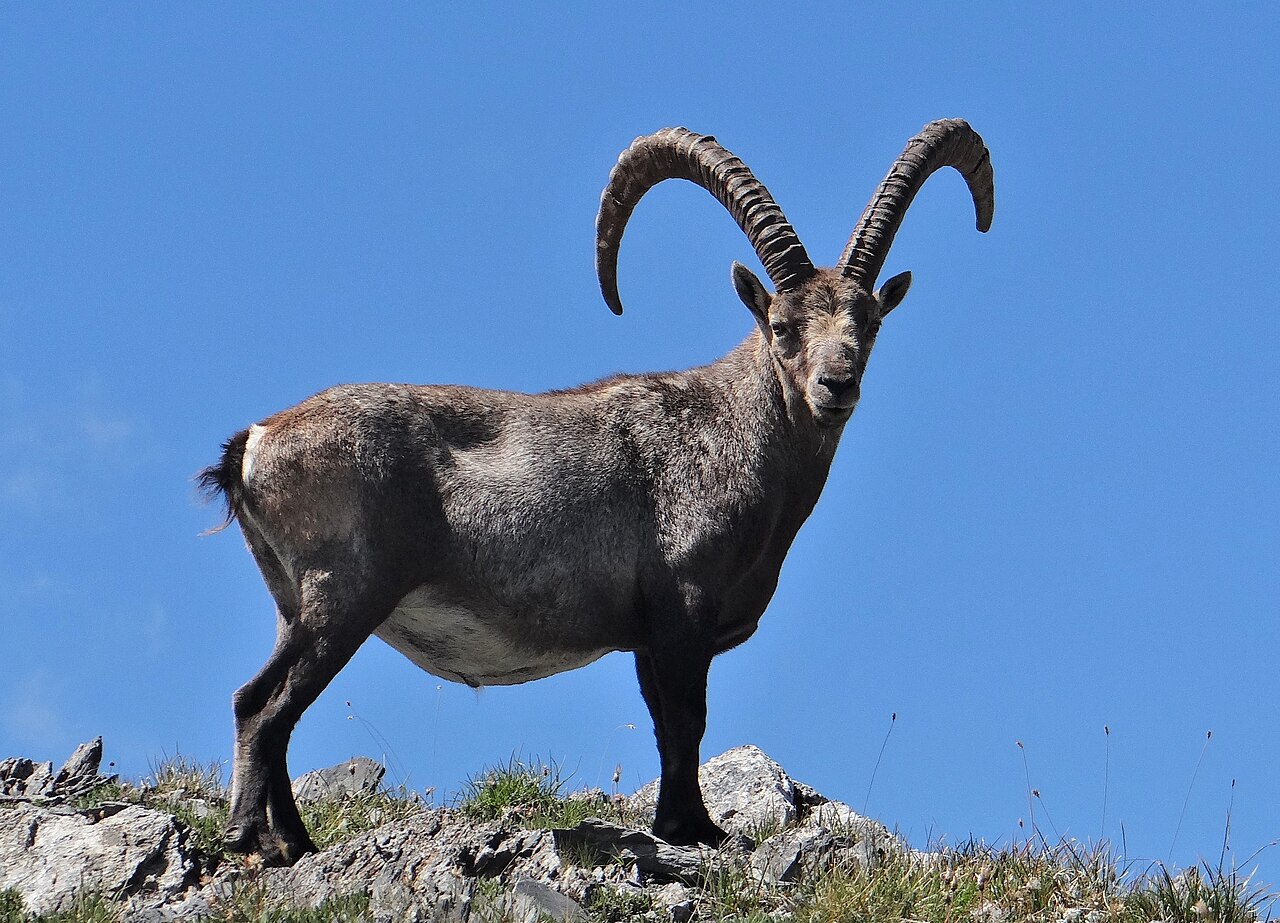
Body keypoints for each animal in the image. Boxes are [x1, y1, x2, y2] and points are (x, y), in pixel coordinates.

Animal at [200, 120, 994, 865]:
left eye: (869, 322)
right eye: (781, 325)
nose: (837, 384)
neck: (730, 431)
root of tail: (255, 442)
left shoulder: (645, 634)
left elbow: (668, 725)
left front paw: (679, 825)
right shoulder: (682, 609)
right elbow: (687, 720)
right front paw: (693, 829)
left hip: (295, 602)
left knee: (264, 707)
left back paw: (292, 841)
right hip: (344, 594)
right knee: (263, 706)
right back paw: (251, 834)